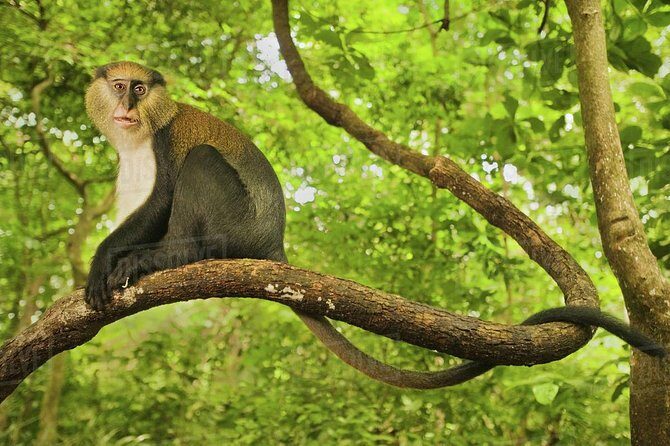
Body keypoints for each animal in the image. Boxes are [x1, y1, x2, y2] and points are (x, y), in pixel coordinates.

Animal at [83, 61, 665, 390]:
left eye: (140, 88)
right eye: (120, 86)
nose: (127, 103)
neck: (141, 133)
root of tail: (273, 242)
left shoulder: (163, 145)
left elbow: (161, 199)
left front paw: (121, 259)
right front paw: (103, 265)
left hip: (235, 221)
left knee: (202, 164)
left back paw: (172, 257)